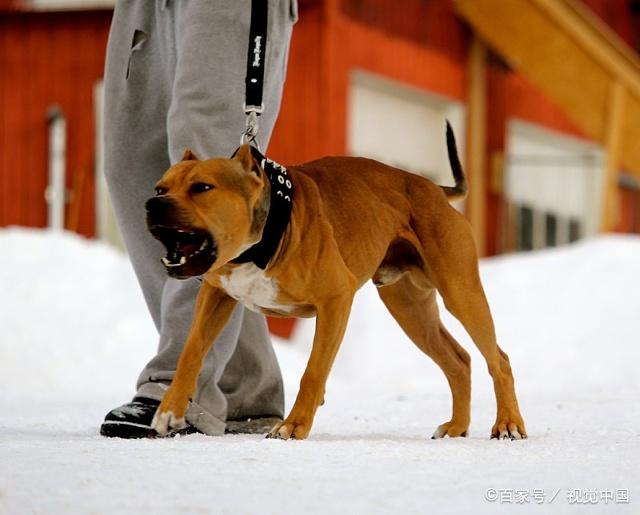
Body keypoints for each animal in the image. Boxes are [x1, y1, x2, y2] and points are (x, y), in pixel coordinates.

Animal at [145, 126, 524, 444]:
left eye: (202, 187)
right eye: (160, 188)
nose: (153, 204)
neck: (264, 238)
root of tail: (433, 189)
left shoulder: (336, 300)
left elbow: (313, 371)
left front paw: (293, 426)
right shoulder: (215, 295)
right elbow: (191, 351)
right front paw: (170, 409)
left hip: (461, 293)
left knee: (499, 360)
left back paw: (507, 424)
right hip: (411, 311)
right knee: (458, 361)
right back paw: (457, 426)